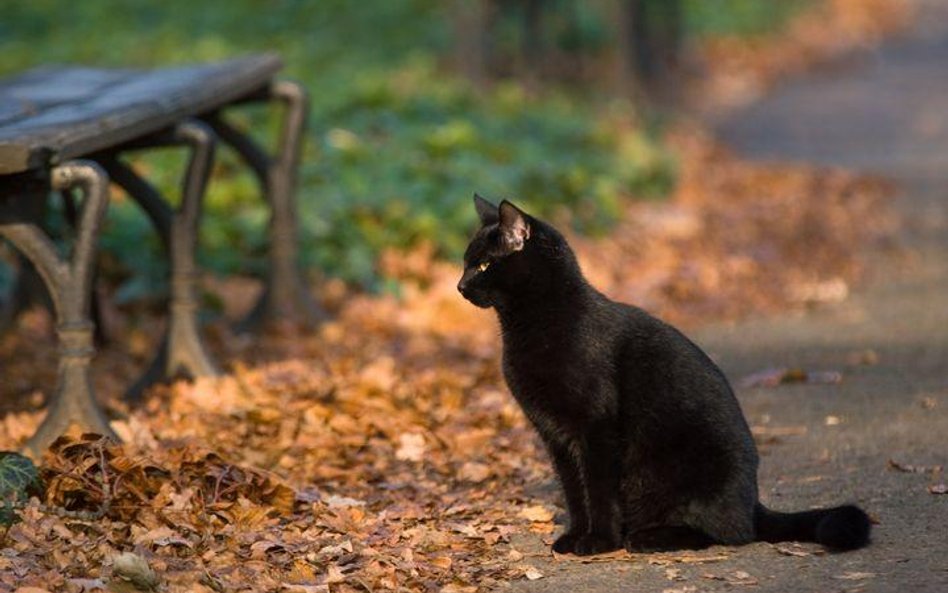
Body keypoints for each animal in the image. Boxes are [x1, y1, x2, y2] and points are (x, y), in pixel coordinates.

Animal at [456, 194, 872, 556]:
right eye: (465, 264)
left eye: (482, 266)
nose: (459, 285)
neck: (535, 324)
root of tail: (753, 502)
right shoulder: (555, 435)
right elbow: (575, 492)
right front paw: (574, 537)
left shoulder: (595, 427)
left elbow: (598, 491)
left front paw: (598, 542)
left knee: (728, 533)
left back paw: (648, 537)